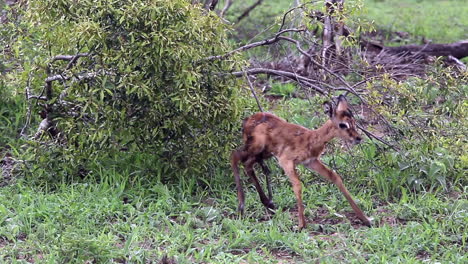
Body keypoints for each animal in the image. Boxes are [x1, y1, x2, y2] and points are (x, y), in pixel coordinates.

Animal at [231, 95, 372, 229]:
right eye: (343, 124)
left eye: (353, 121)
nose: (358, 138)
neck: (311, 139)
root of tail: (248, 120)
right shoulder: (286, 161)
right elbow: (298, 185)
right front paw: (301, 225)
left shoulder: (311, 162)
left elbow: (334, 176)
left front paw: (365, 219)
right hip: (256, 150)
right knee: (234, 156)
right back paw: (242, 207)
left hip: (262, 154)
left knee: (247, 164)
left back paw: (268, 204)